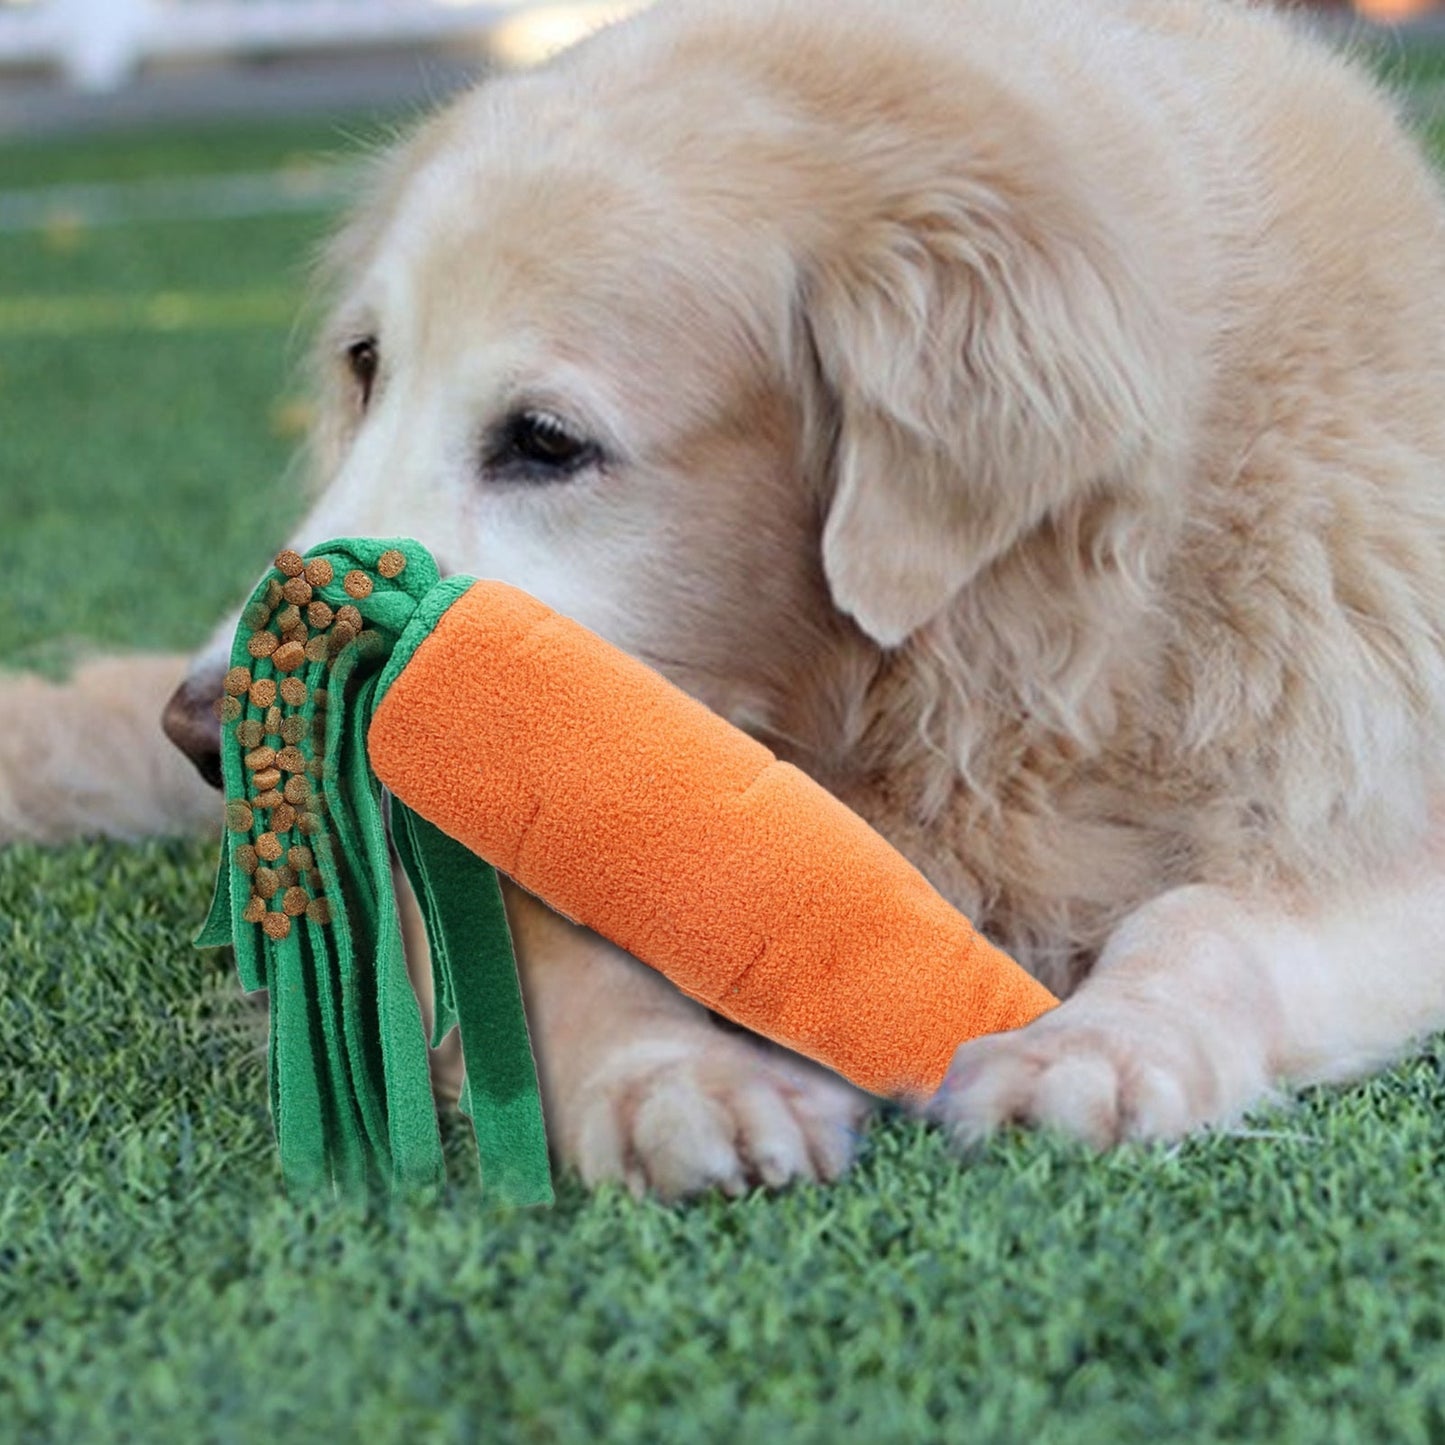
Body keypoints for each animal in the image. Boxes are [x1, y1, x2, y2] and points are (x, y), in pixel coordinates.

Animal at [8, 0, 1445, 1196]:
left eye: (544, 441)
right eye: (366, 365)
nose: (202, 735)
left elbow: (1205, 920)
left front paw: (1093, 1047)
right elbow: (556, 952)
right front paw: (674, 1081)